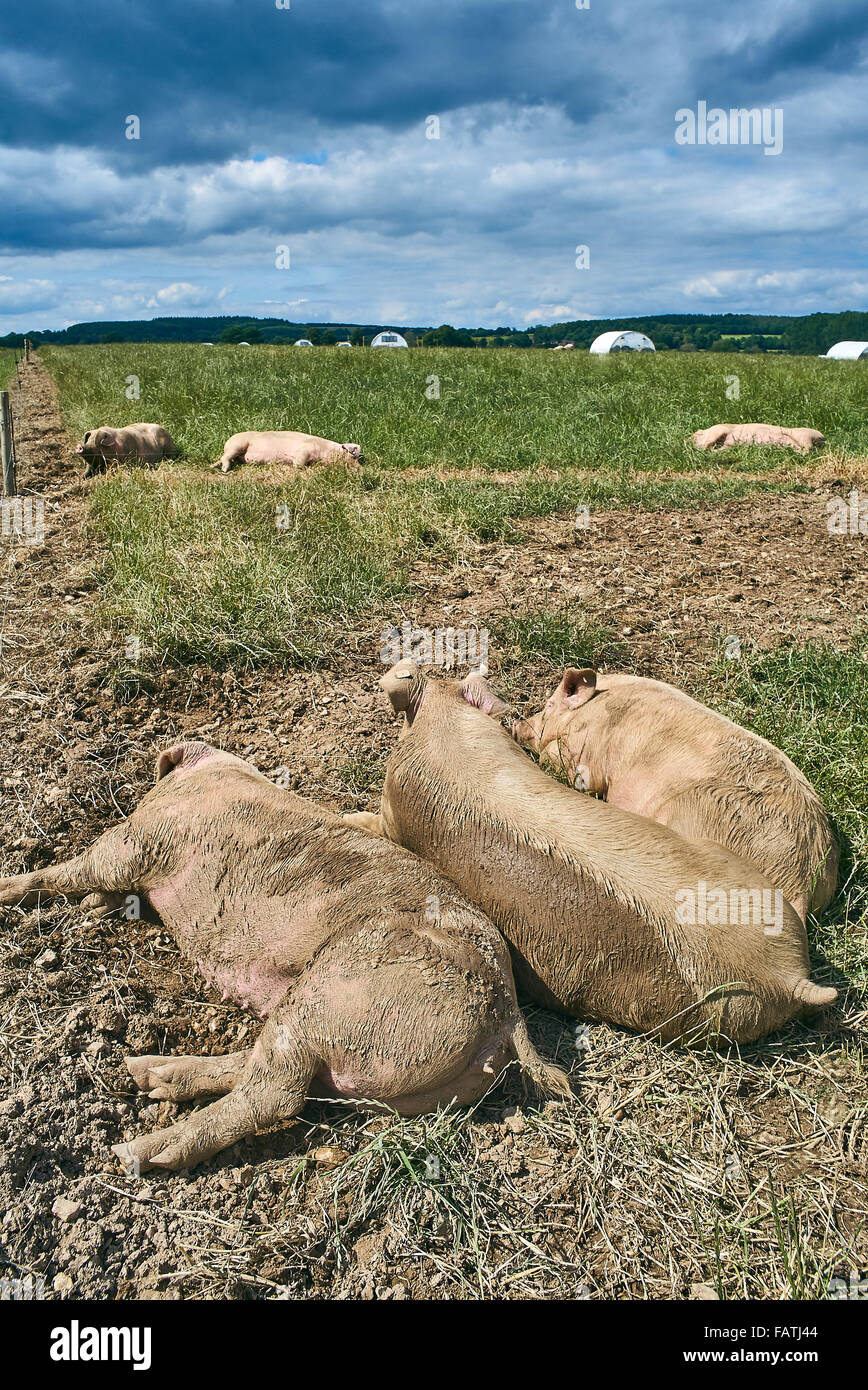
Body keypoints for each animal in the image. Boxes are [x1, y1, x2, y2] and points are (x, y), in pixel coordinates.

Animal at [0, 739, 570, 1173]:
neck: (216, 774)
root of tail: (504, 1008)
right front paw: (97, 906)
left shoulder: (139, 838)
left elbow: (76, 868)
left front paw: (12, 888)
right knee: (267, 1070)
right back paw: (146, 1074)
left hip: (339, 992)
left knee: (274, 1093)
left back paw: (134, 1150)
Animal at [214, 428, 361, 472]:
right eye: (353, 456)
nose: (361, 468)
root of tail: (227, 442)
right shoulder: (304, 451)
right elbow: (299, 464)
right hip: (237, 444)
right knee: (225, 457)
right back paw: (224, 469)